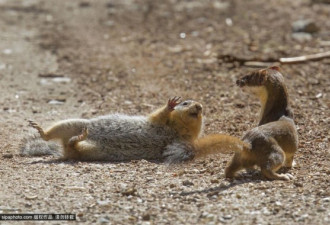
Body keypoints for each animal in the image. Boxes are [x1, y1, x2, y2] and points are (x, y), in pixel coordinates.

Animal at [20, 96, 242, 163]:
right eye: (186, 102)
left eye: (203, 109)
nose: (200, 106)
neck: (177, 128)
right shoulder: (160, 121)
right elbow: (159, 114)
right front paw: (170, 104)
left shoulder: (185, 136)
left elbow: (186, 142)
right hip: (70, 123)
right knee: (53, 135)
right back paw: (41, 129)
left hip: (90, 150)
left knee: (73, 148)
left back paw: (77, 139)